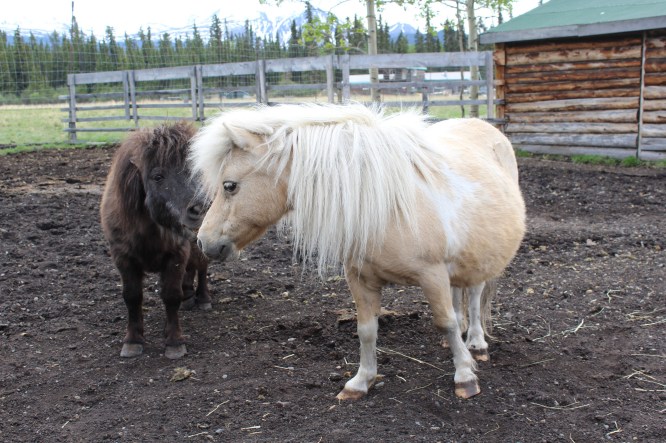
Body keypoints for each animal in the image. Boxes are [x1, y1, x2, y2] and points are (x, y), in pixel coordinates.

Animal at [100, 121, 211, 360]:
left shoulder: (176, 255)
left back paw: (203, 298)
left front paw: (174, 342)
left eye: (193, 171)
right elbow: (132, 297)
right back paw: (189, 296)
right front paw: (132, 341)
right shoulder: (123, 258)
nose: (199, 209)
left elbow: (171, 296)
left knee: (202, 267)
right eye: (157, 176)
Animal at [190, 104, 525, 398]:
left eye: (229, 185)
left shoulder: (432, 275)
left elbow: (445, 322)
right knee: (459, 298)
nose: (204, 242)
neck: (386, 206)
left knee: (474, 295)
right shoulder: (361, 279)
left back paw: (477, 344)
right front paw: (361, 382)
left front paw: (465, 377)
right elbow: (366, 330)